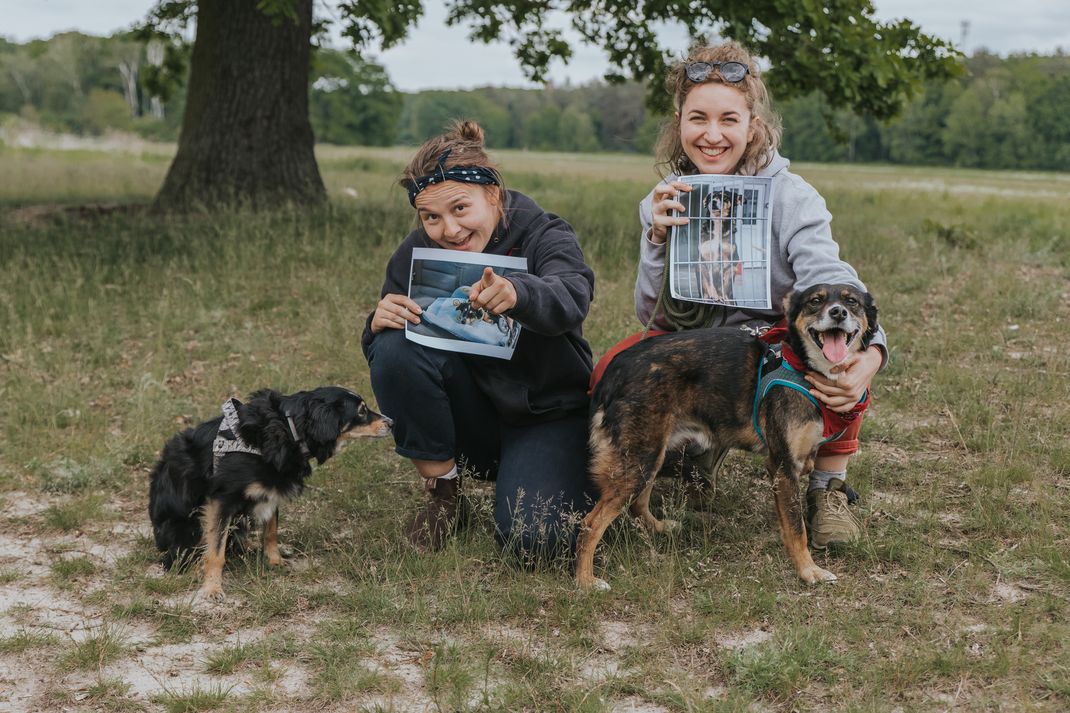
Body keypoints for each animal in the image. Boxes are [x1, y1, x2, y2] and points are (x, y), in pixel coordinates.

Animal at [145, 385, 389, 595]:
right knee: (180, 555)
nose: (392, 422)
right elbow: (216, 550)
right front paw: (212, 587)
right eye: (361, 411)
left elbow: (271, 532)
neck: (289, 429)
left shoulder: (272, 491)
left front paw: (275, 560)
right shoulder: (221, 499)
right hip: (187, 524)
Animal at [577, 282, 877, 586]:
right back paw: (585, 581)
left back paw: (659, 527)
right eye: (816, 301)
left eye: (851, 302)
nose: (838, 312)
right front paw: (808, 570)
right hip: (641, 456)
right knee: (590, 523)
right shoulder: (783, 466)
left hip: (649, 454)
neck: (806, 369)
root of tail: (617, 369)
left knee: (637, 504)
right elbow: (796, 528)